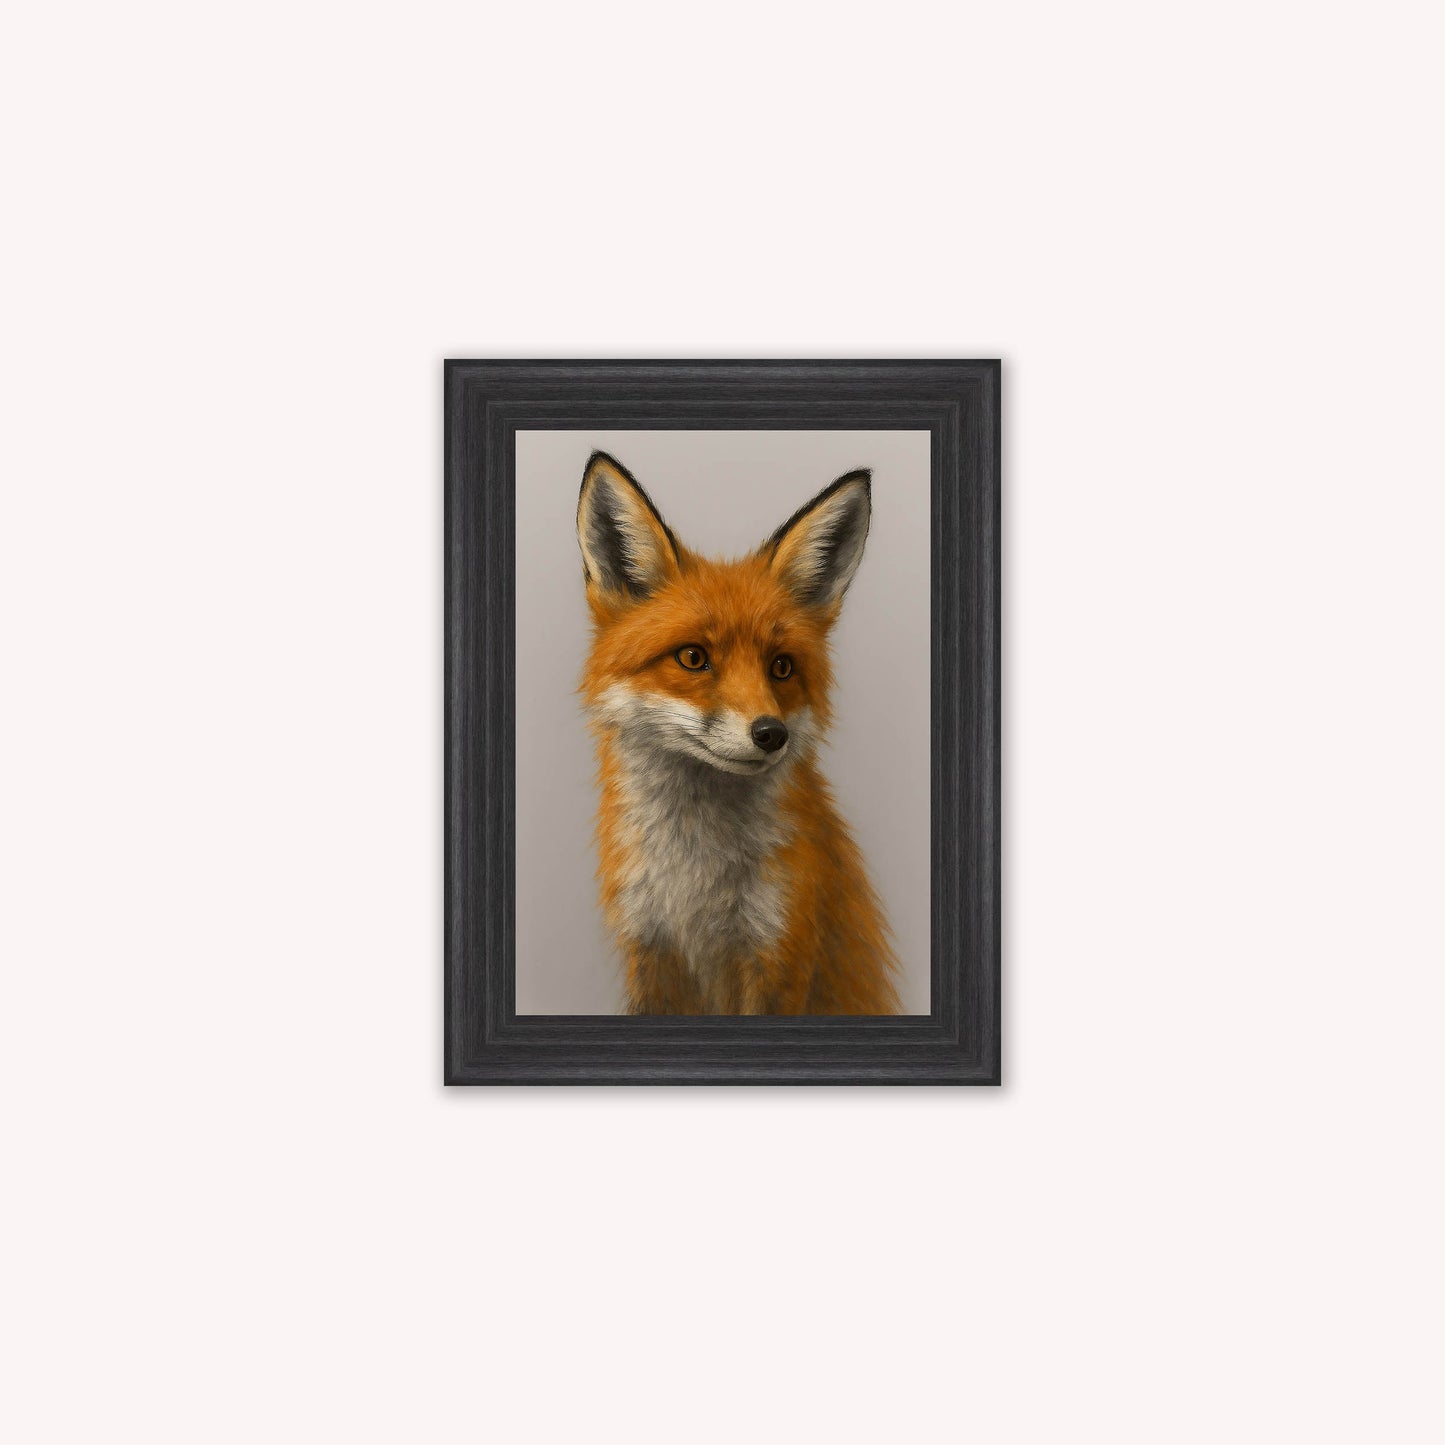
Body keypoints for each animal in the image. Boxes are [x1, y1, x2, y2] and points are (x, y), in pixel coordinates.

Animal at [576, 450, 901, 1016]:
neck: (694, 882)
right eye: (693, 657)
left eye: (781, 667)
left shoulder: (778, 954)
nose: (772, 733)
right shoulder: (651, 950)